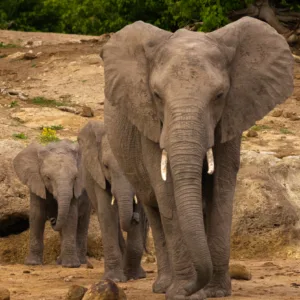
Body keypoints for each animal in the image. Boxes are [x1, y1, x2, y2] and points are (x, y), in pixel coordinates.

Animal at [13, 139, 91, 268]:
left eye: (75, 178)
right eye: (48, 177)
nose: (53, 219)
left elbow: (70, 217)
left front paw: (71, 265)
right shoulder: (36, 182)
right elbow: (37, 216)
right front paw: (32, 264)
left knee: (82, 223)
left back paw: (81, 261)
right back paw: (60, 261)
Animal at [77, 120, 148, 282]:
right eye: (106, 166)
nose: (134, 218)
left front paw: (134, 276)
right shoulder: (98, 175)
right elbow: (106, 213)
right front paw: (114, 279)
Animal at [101, 17, 292, 300]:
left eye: (219, 95)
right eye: (156, 95)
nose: (194, 288)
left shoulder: (232, 115)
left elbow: (221, 191)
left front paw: (215, 292)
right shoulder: (150, 123)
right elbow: (167, 194)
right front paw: (182, 292)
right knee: (155, 210)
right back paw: (163, 287)